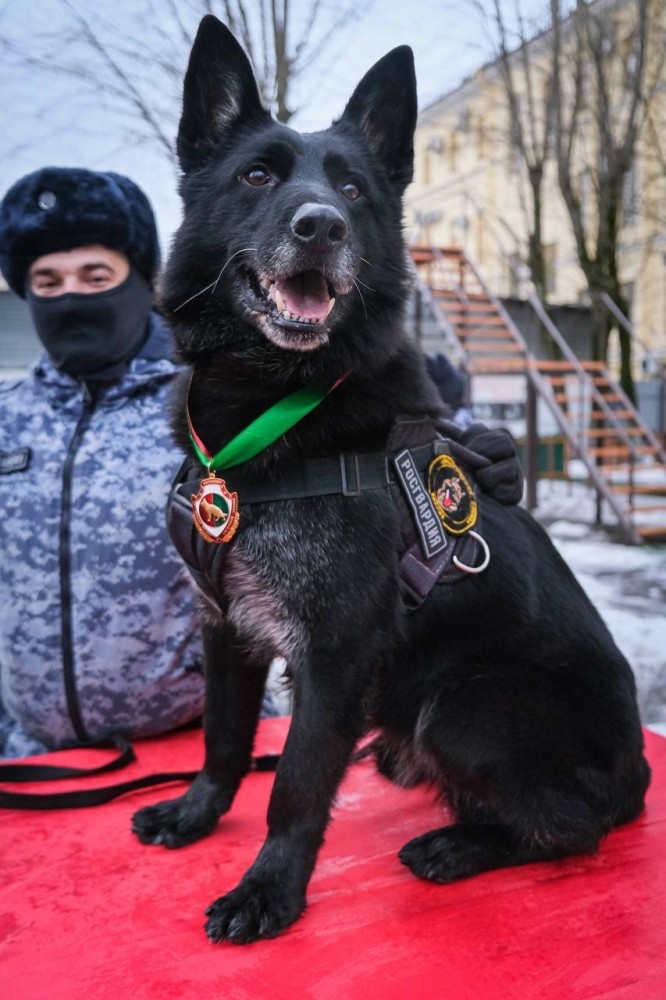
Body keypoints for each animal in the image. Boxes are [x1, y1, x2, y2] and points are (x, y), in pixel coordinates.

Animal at [131, 17, 648, 944]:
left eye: (352, 188)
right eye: (257, 174)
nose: (321, 226)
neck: (278, 411)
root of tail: (638, 779)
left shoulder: (333, 652)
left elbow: (297, 783)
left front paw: (270, 889)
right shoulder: (226, 627)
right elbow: (224, 740)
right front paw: (196, 815)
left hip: (467, 708)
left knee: (573, 827)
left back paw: (459, 843)